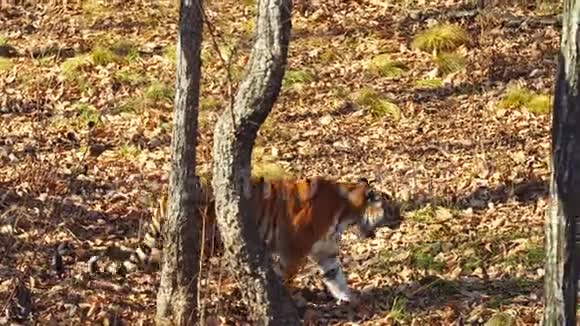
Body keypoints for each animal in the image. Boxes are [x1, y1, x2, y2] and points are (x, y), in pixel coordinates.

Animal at [96, 174, 404, 304]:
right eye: (392, 209)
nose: (402, 221)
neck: (347, 211)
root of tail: (165, 195)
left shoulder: (325, 252)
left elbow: (336, 277)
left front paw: (349, 300)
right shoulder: (294, 250)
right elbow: (284, 276)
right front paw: (289, 301)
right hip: (209, 240)